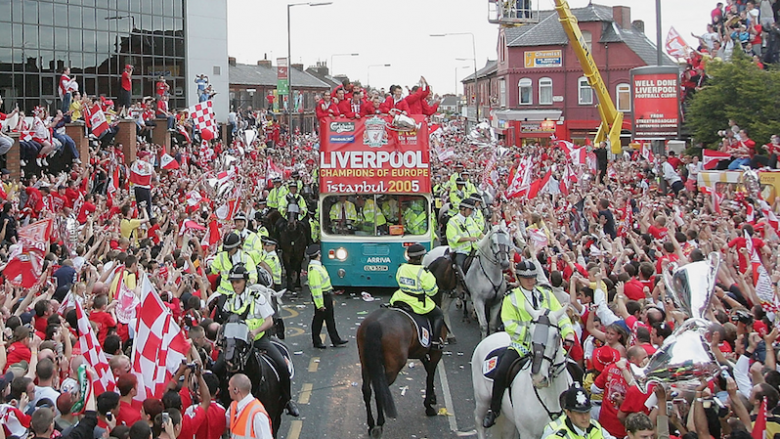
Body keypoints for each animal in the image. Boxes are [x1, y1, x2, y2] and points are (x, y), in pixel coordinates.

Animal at [356, 308, 448, 438]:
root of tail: (375, 323)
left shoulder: (421, 352)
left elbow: (428, 370)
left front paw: (432, 398)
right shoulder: (436, 354)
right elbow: (430, 376)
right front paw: (428, 406)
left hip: (366, 364)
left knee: (367, 390)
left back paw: (371, 424)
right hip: (393, 367)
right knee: (380, 390)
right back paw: (380, 423)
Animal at [470, 304, 572, 439]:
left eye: (555, 335)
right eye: (530, 332)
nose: (539, 378)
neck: (551, 397)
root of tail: (489, 337)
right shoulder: (527, 433)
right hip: (483, 399)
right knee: (478, 421)